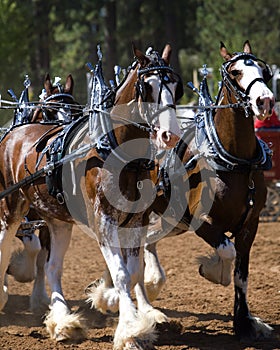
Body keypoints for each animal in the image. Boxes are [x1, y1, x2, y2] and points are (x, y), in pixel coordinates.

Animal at [0, 45, 183, 348]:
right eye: (147, 87)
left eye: (176, 87)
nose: (170, 135)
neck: (114, 148)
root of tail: (13, 133)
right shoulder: (104, 220)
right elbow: (121, 273)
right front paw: (131, 331)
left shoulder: (135, 220)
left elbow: (133, 272)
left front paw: (108, 299)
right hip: (11, 208)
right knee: (4, 249)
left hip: (57, 220)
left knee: (52, 267)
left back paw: (63, 322)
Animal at [88, 40, 276, 342]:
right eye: (234, 72)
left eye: (264, 70)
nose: (265, 101)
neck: (236, 161)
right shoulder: (202, 222)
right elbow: (227, 252)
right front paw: (212, 270)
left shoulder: (251, 225)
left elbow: (242, 273)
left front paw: (244, 322)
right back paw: (121, 298)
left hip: (169, 219)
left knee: (145, 244)